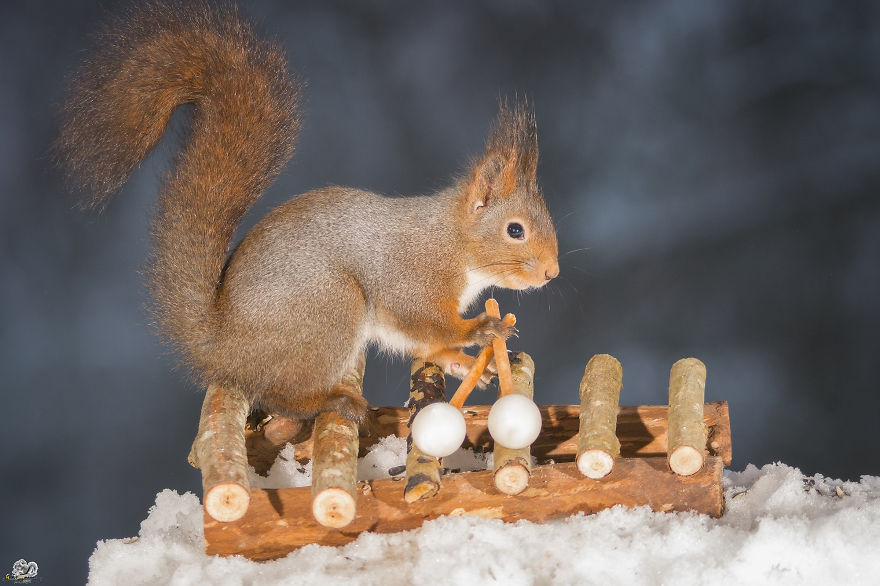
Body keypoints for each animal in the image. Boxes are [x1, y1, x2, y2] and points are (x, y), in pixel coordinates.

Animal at [56, 2, 559, 424]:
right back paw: (330, 401)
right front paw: (479, 329)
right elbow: (427, 320)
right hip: (331, 305)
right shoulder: (412, 276)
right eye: (515, 230)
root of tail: (224, 346)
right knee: (279, 395)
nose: (552, 273)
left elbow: (423, 341)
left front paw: (460, 360)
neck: (455, 243)